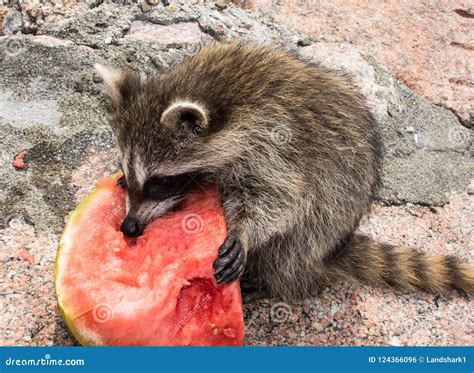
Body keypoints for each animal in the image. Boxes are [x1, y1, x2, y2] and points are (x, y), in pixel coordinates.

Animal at [94, 41, 472, 302]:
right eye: (130, 174)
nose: (128, 227)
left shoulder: (276, 137)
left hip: (322, 225)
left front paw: (246, 231)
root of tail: (333, 249)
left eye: (160, 182)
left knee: (294, 242)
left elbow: (281, 196)